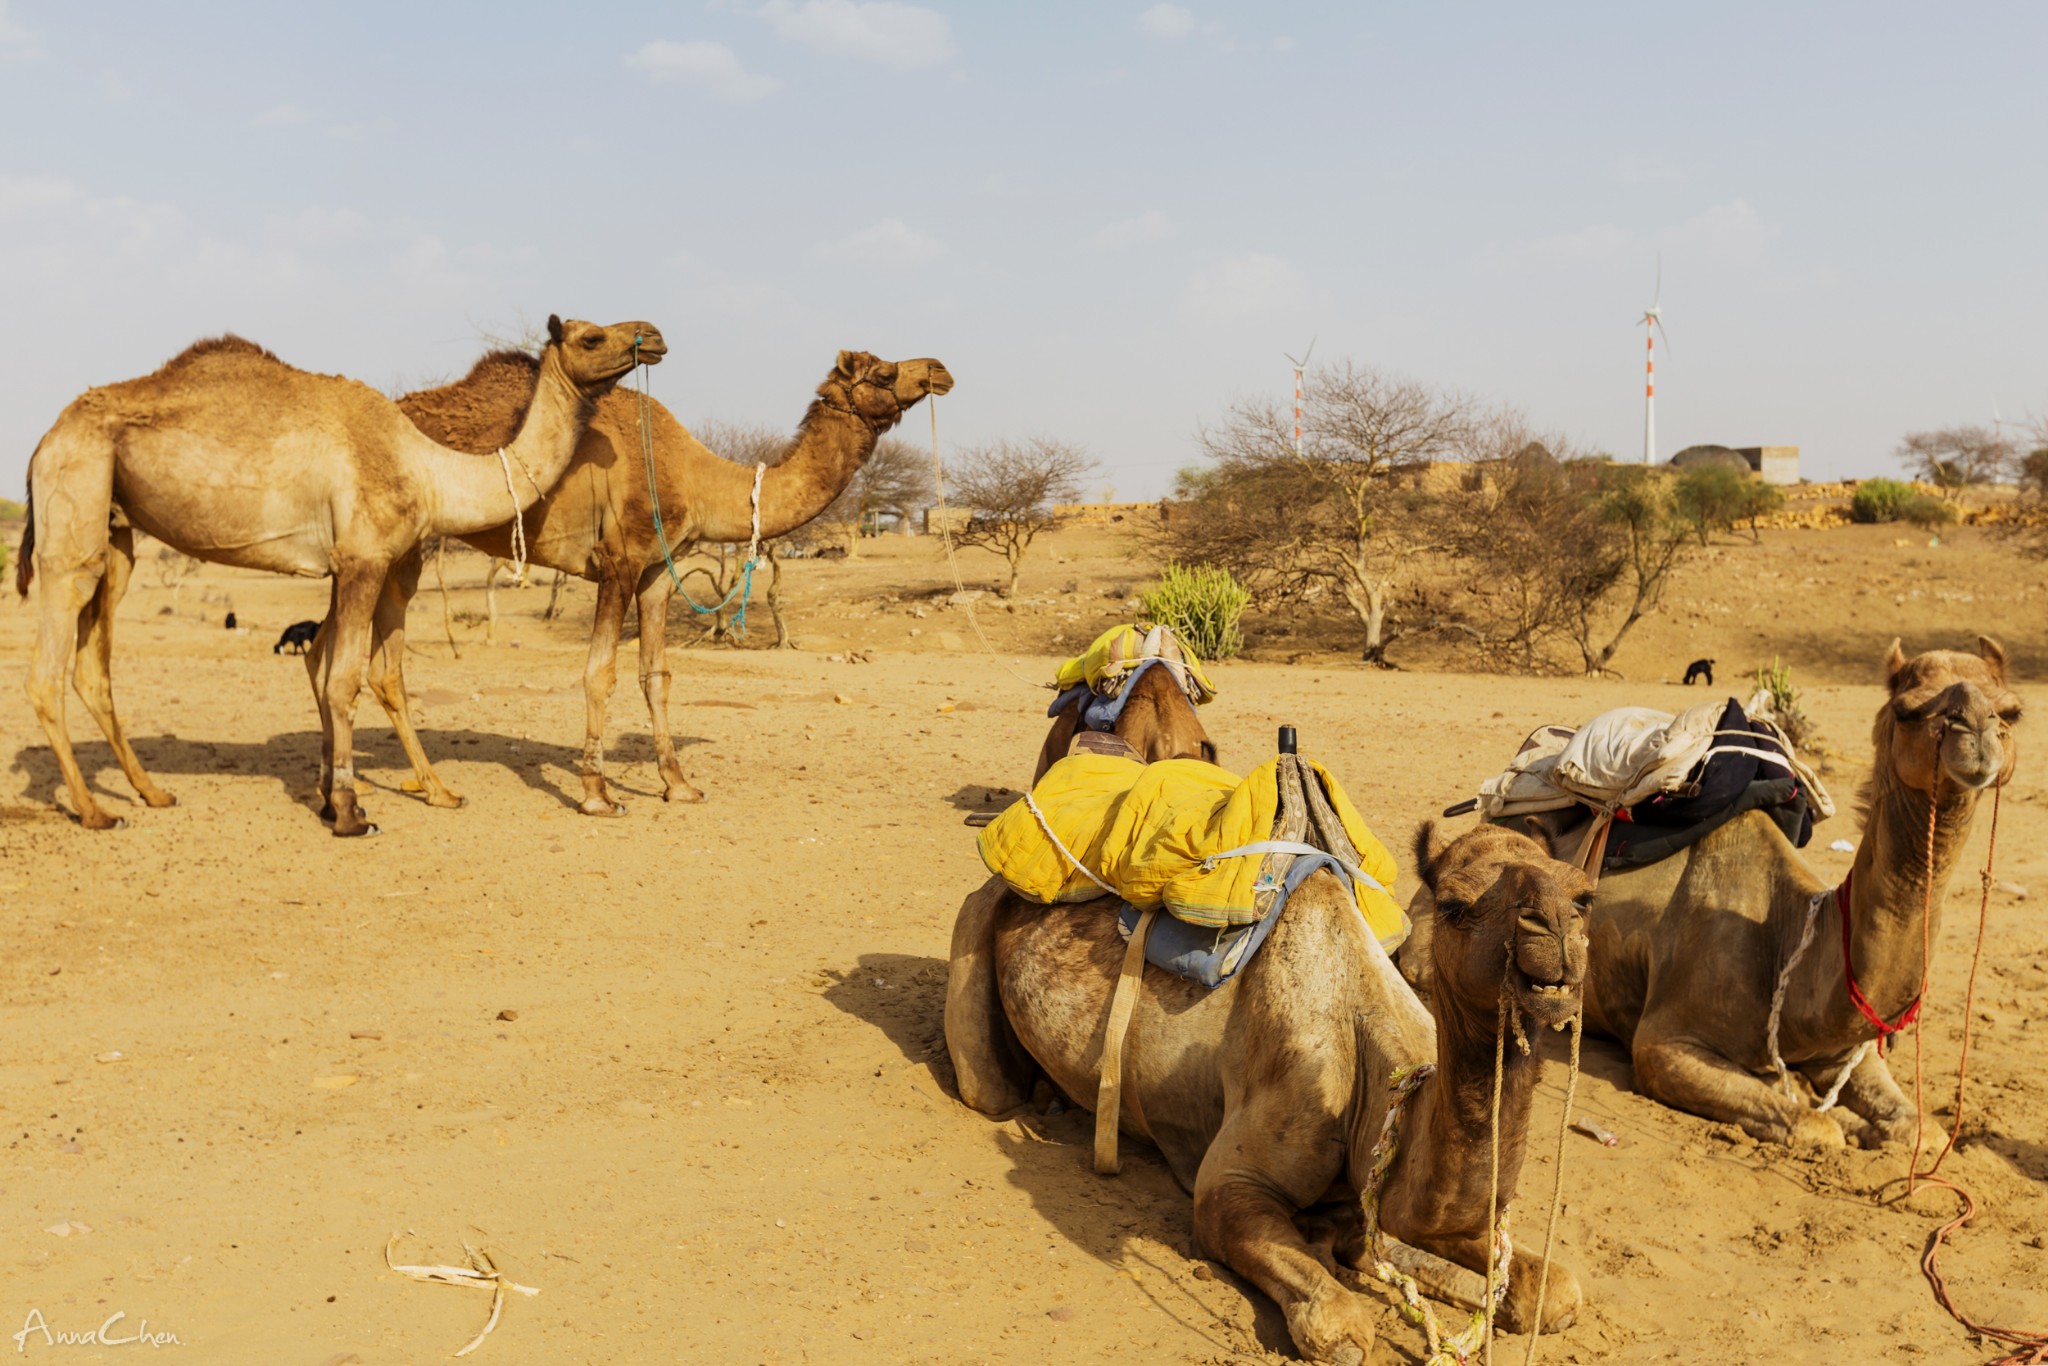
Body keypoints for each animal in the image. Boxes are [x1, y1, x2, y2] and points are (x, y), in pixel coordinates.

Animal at [22, 317, 663, 835]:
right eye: (592, 336)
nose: (652, 334)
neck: (429, 470)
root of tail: (44, 440)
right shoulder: (363, 559)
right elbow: (342, 680)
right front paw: (352, 813)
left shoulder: (356, 564)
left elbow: (336, 671)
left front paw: (343, 799)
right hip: (73, 505)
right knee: (47, 670)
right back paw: (95, 811)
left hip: (117, 534)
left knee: (93, 665)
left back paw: (152, 793)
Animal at [378, 350, 950, 810]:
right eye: (884, 371)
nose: (939, 370)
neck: (696, 480)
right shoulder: (619, 560)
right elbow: (599, 673)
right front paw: (596, 795)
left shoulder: (657, 569)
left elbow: (656, 675)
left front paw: (679, 785)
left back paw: (427, 789)